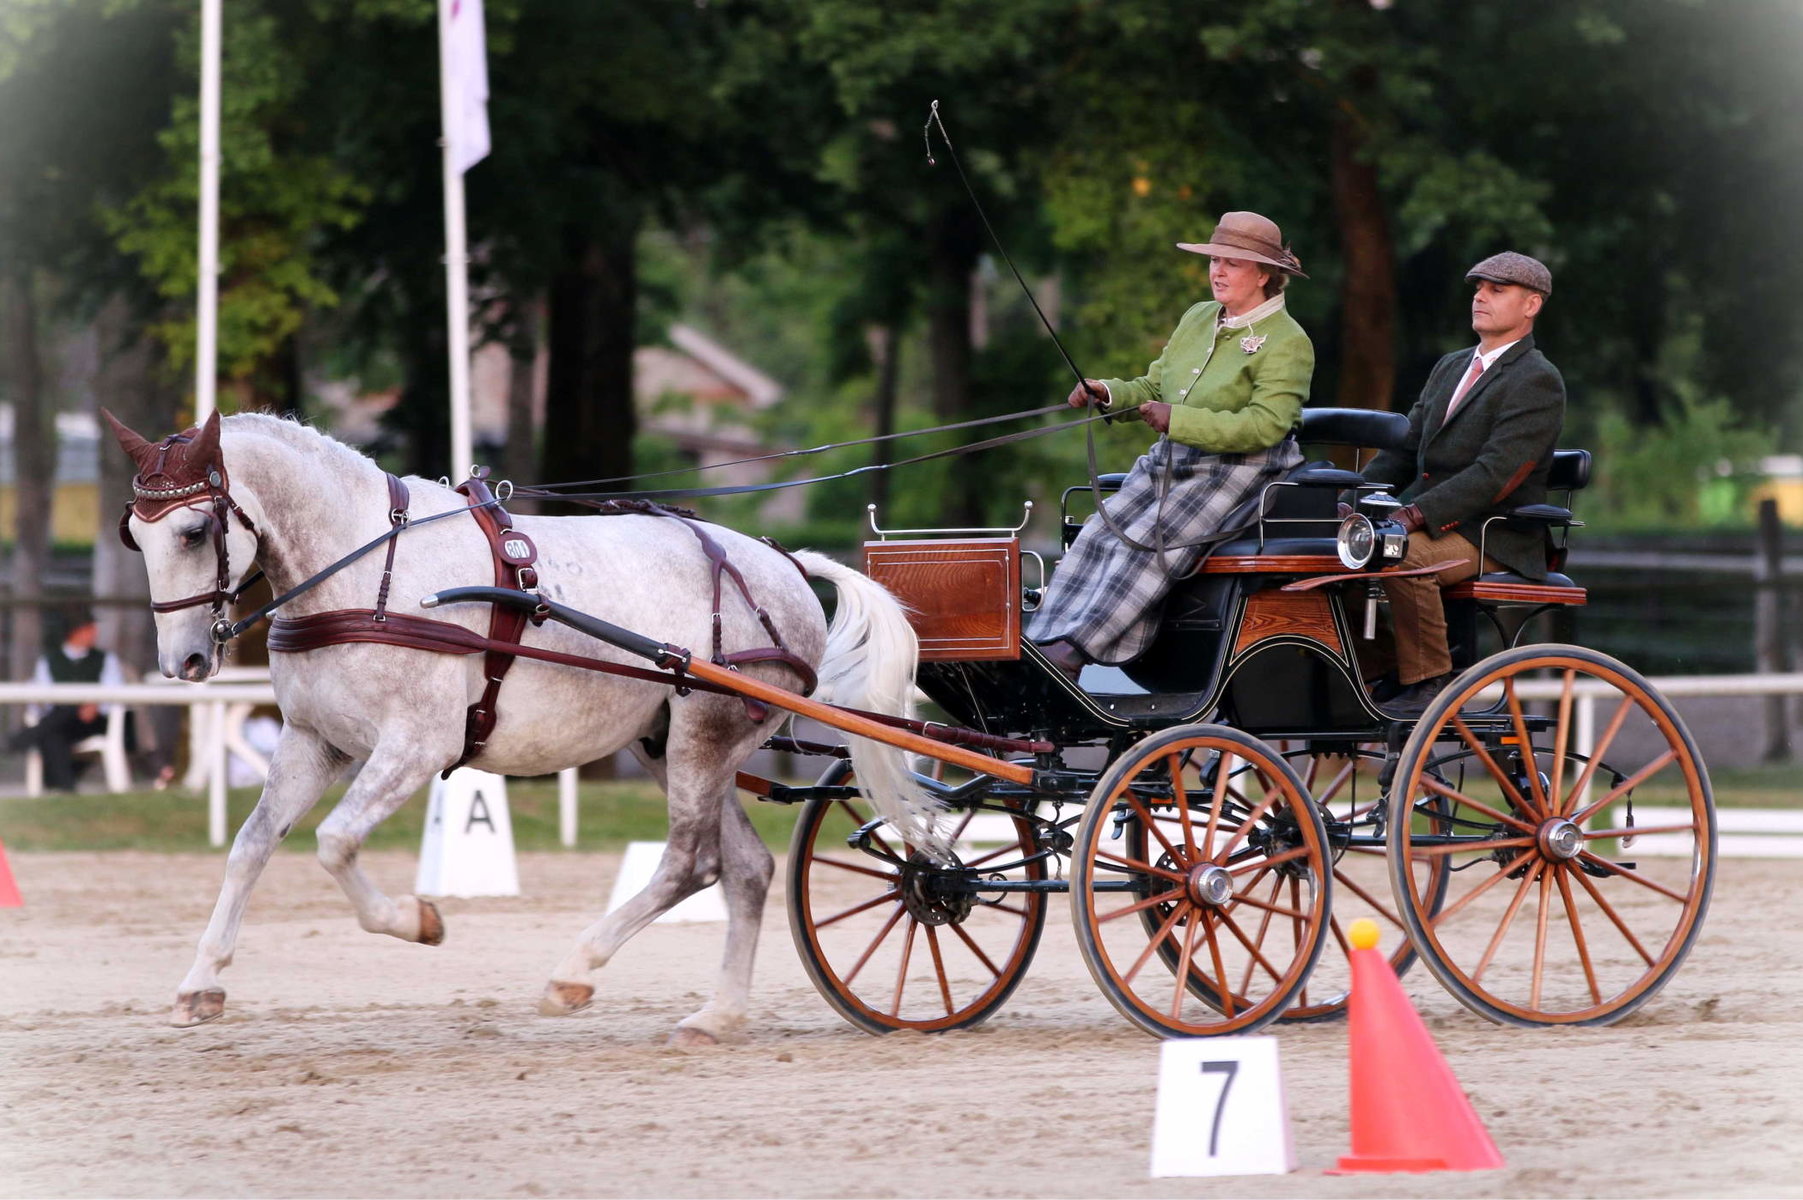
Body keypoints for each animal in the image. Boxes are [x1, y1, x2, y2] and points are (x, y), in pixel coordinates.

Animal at [109, 409, 930, 1037]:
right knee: (744, 868)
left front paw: (417, 919)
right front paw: (201, 982)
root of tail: (782, 563)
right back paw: (718, 1014)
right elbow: (250, 848)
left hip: (705, 733)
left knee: (686, 861)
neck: (367, 570)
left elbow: (335, 843)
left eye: (192, 532)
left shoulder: (414, 745)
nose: (182, 661)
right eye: (135, 536)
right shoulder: (316, 743)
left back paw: (577, 971)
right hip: (669, 741)